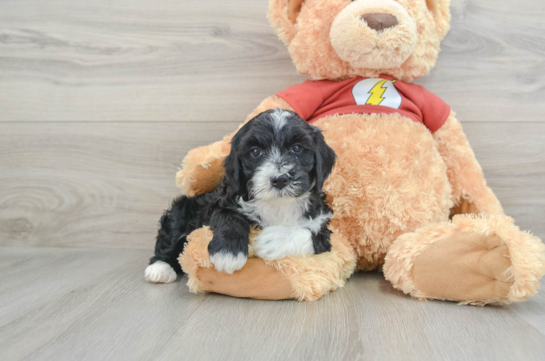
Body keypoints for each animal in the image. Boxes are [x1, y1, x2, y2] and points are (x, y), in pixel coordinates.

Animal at [147, 108, 338, 282]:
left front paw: (273, 239)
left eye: (297, 148)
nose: (280, 179)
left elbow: (313, 236)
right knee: (171, 234)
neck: (277, 205)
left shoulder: (322, 223)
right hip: (182, 211)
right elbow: (231, 218)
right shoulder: (222, 204)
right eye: (255, 151)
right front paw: (228, 252)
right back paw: (160, 268)